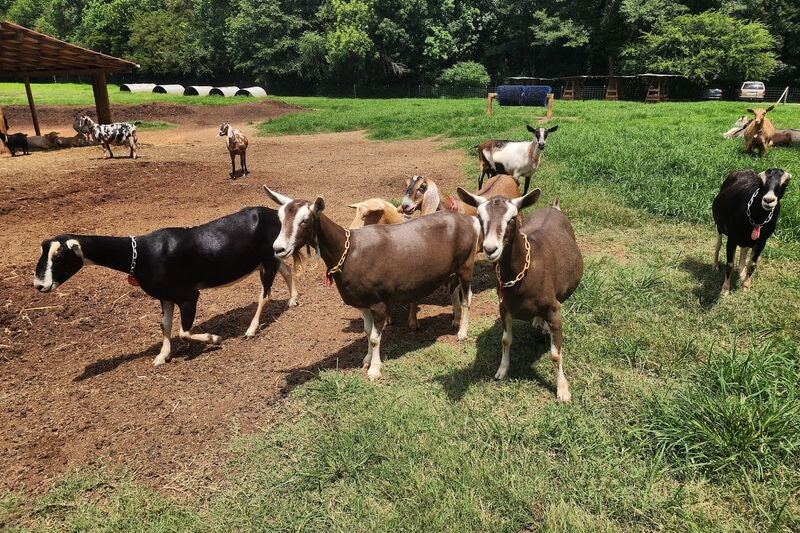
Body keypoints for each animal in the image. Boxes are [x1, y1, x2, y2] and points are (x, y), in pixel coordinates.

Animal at [33, 207, 299, 366]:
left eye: (59, 256)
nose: (39, 285)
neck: (142, 254)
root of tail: (273, 214)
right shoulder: (165, 296)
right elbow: (166, 325)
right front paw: (162, 356)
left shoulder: (189, 295)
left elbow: (184, 331)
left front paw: (213, 338)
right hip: (270, 257)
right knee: (286, 270)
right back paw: (293, 300)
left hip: (266, 260)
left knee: (265, 293)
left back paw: (251, 329)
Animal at [265, 186, 481, 381]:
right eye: (280, 219)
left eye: (305, 220)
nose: (278, 249)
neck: (349, 252)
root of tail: (471, 221)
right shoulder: (363, 302)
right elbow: (368, 332)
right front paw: (366, 360)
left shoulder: (378, 303)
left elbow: (376, 338)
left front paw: (374, 370)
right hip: (453, 269)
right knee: (454, 291)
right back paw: (456, 320)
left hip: (466, 265)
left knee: (467, 298)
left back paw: (462, 332)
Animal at [457, 188, 583, 401]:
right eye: (480, 218)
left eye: (512, 218)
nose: (490, 249)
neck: (524, 273)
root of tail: (553, 207)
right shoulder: (504, 307)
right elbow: (506, 339)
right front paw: (502, 370)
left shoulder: (554, 309)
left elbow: (555, 354)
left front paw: (563, 389)